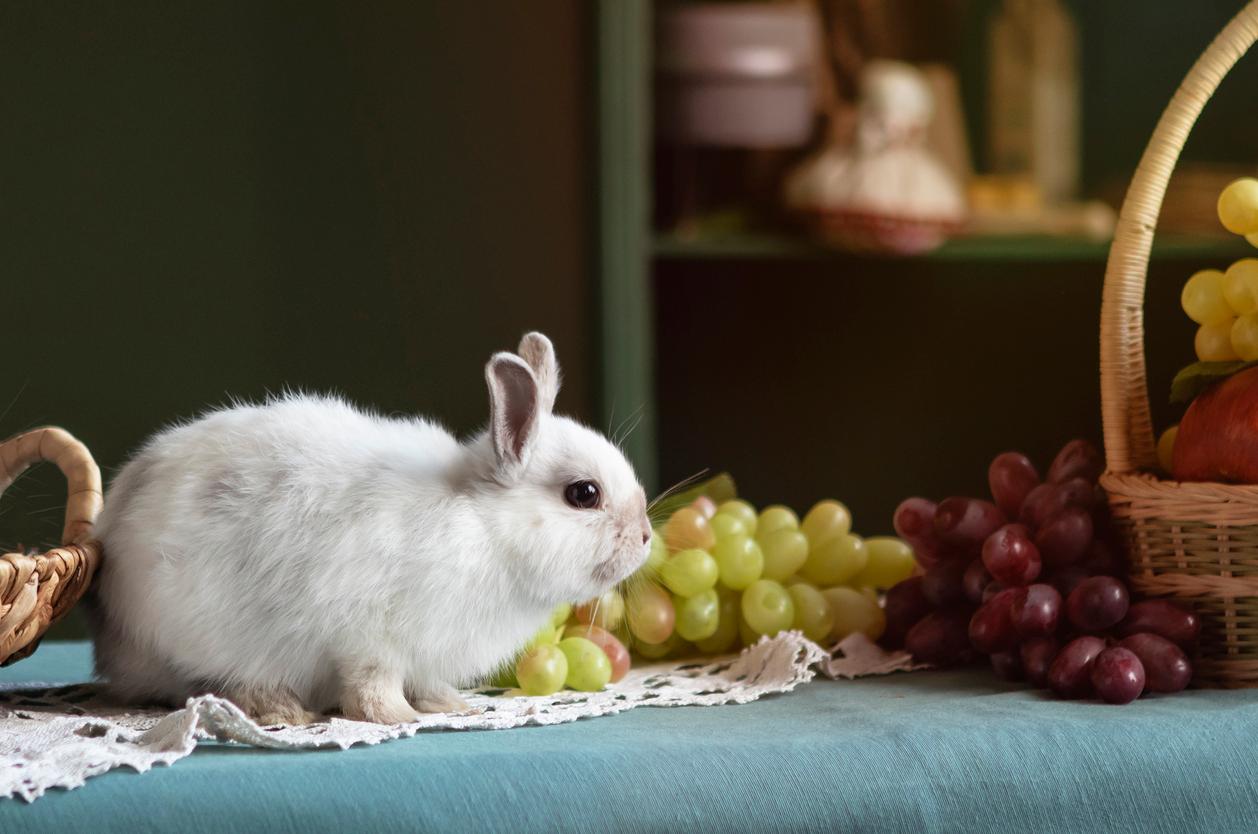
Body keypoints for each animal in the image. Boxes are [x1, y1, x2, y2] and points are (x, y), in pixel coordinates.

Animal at [91, 332, 649, 724]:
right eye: (584, 494)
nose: (645, 538)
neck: (487, 529)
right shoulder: (368, 640)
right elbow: (371, 689)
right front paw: (398, 718)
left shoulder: (425, 656)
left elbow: (426, 685)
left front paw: (454, 707)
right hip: (207, 635)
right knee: (213, 683)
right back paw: (283, 710)